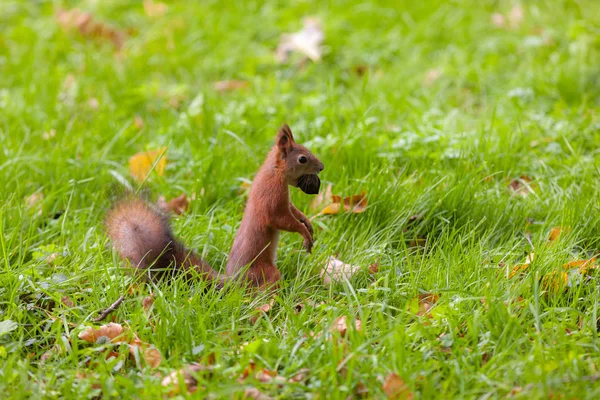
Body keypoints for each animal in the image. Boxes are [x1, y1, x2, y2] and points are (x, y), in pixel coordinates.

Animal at [105, 123, 326, 290]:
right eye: (302, 159)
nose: (322, 167)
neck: (275, 172)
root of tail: (233, 282)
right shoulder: (271, 198)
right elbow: (281, 219)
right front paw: (304, 233)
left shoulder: (285, 200)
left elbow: (293, 211)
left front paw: (307, 222)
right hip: (264, 272)